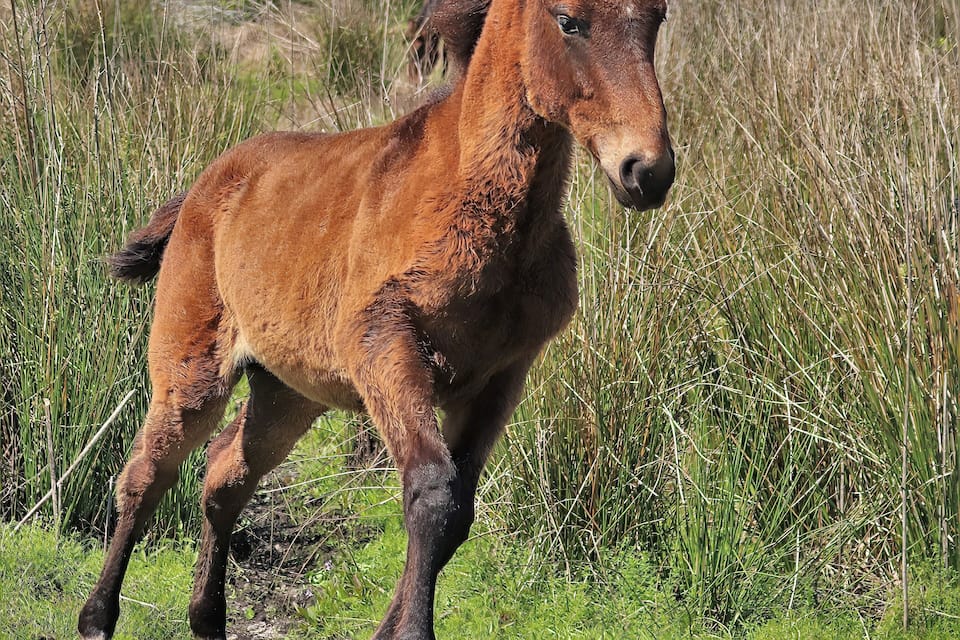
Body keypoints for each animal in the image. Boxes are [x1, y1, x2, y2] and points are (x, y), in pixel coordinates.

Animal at [78, 0, 674, 638]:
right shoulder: (385, 342)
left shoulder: (502, 377)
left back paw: (207, 618)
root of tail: (204, 184)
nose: (647, 171)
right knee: (147, 474)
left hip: (289, 393)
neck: (483, 207)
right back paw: (97, 618)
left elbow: (457, 509)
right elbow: (432, 493)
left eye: (658, 19)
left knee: (225, 474)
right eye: (568, 21)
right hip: (192, 371)